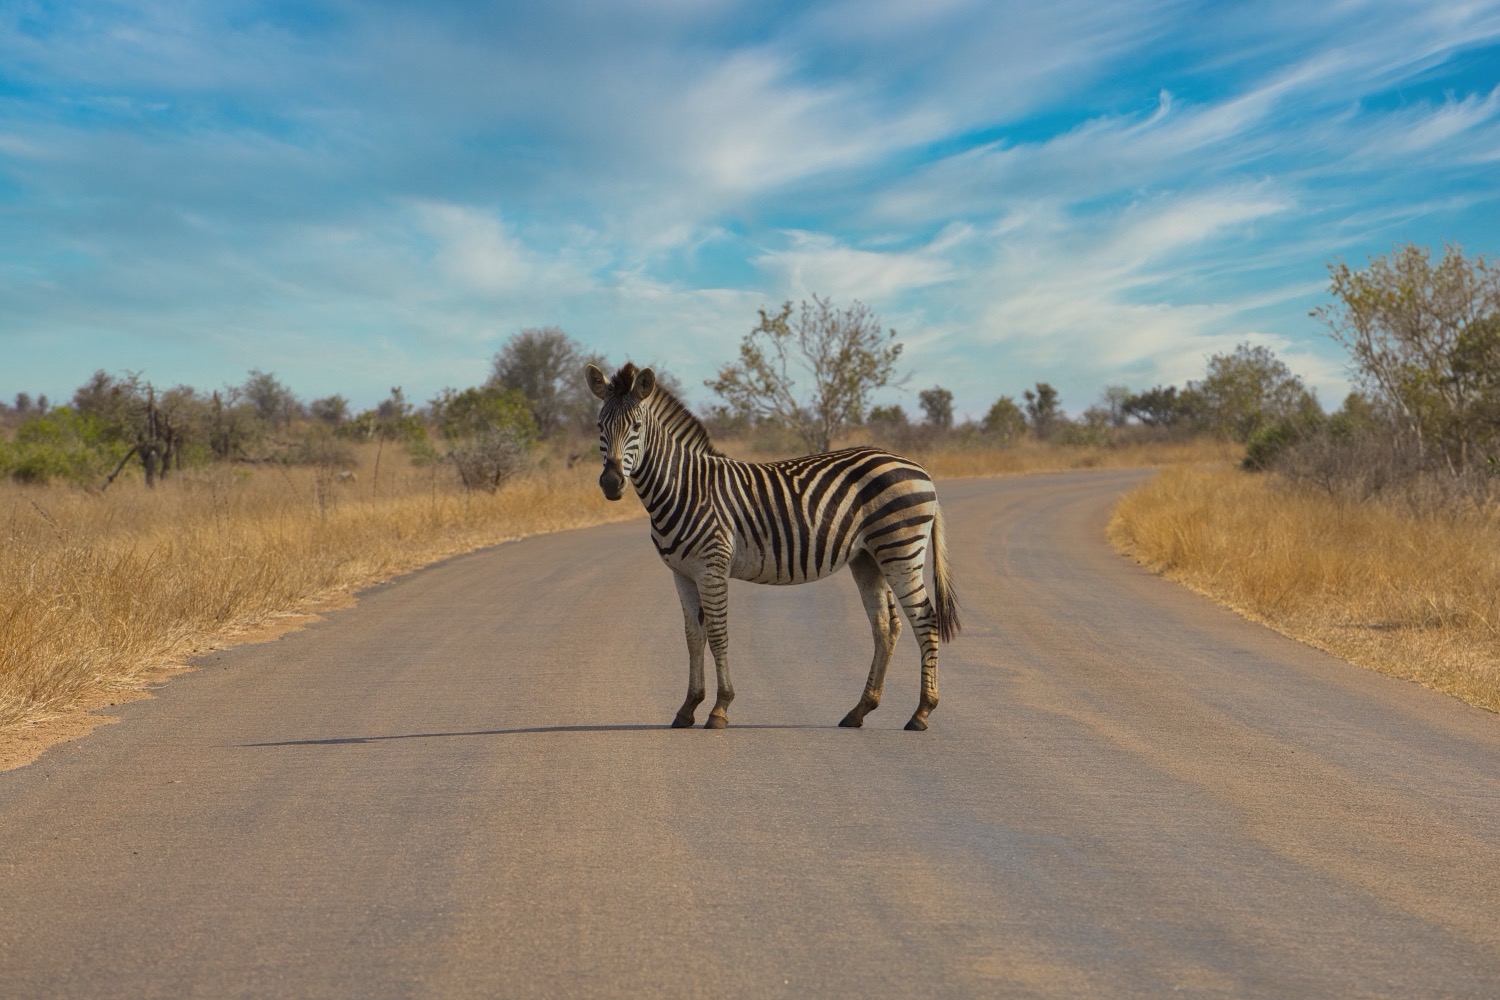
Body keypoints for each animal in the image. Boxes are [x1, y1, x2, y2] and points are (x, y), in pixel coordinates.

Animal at [586, 361, 960, 731]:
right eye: (599, 426)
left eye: (636, 427)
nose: (611, 483)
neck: (685, 488)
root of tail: (919, 468)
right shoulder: (682, 573)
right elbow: (693, 636)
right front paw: (688, 708)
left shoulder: (712, 567)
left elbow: (718, 634)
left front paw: (720, 708)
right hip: (868, 558)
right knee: (886, 626)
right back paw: (860, 710)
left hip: (900, 550)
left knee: (925, 620)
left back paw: (921, 712)